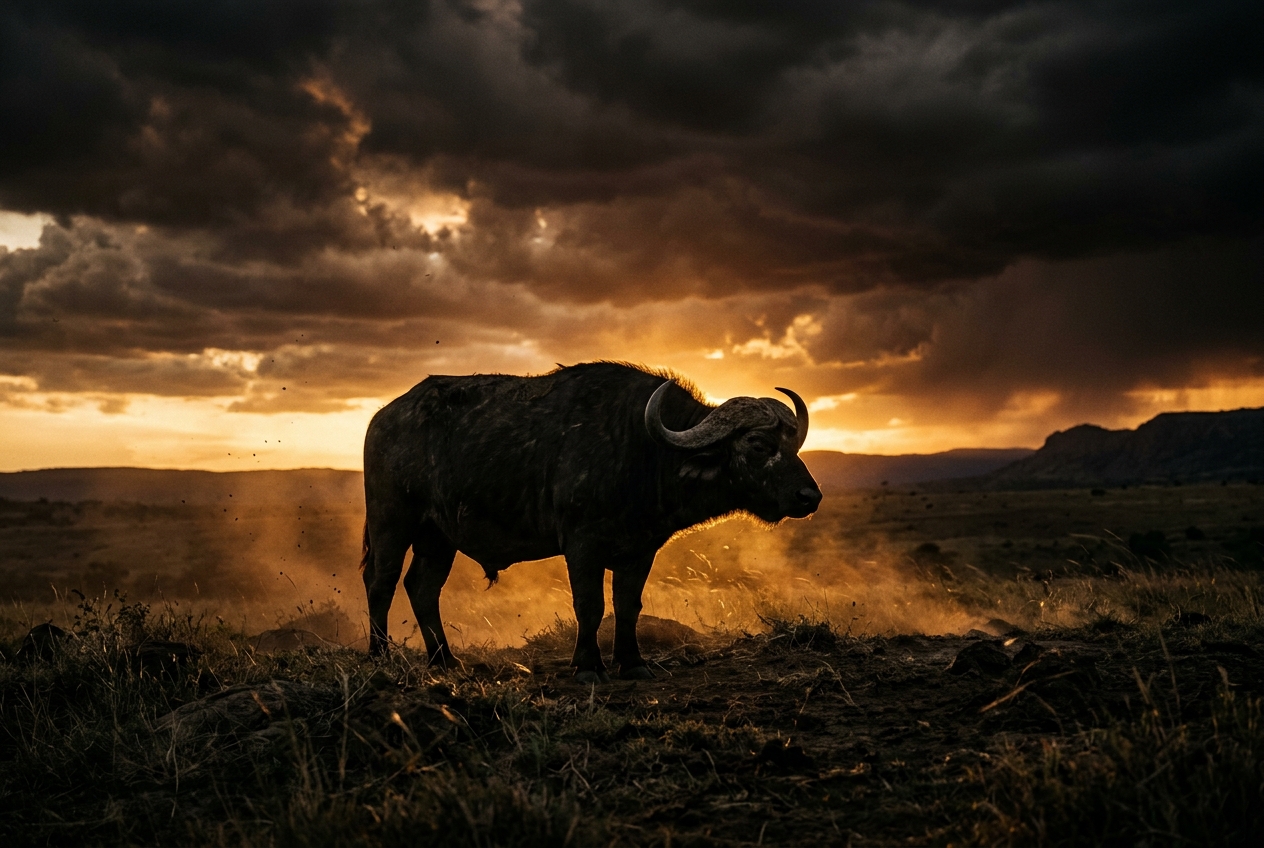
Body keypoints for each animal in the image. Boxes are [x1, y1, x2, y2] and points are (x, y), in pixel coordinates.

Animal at [361, 362, 822, 682]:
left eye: (793, 444)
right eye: (758, 444)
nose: (810, 497)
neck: (642, 450)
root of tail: (382, 418)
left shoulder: (641, 550)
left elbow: (628, 605)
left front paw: (632, 663)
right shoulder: (582, 545)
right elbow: (590, 605)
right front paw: (587, 666)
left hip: (438, 537)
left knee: (422, 588)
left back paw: (445, 659)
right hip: (391, 522)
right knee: (381, 583)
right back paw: (379, 656)